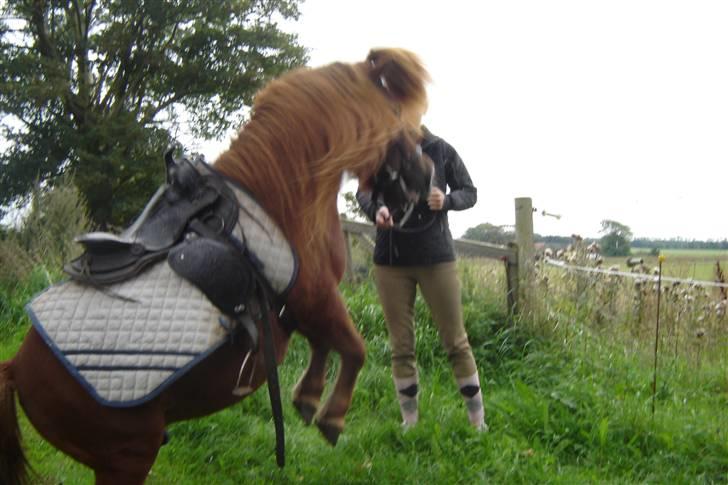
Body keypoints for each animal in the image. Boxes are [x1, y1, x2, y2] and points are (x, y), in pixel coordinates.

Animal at [0, 49, 430, 484]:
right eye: (399, 115)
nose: (425, 175)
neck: (280, 201)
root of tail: (16, 368)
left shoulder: (303, 310)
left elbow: (325, 344)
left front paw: (308, 398)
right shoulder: (317, 299)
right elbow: (355, 348)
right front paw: (332, 417)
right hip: (127, 458)